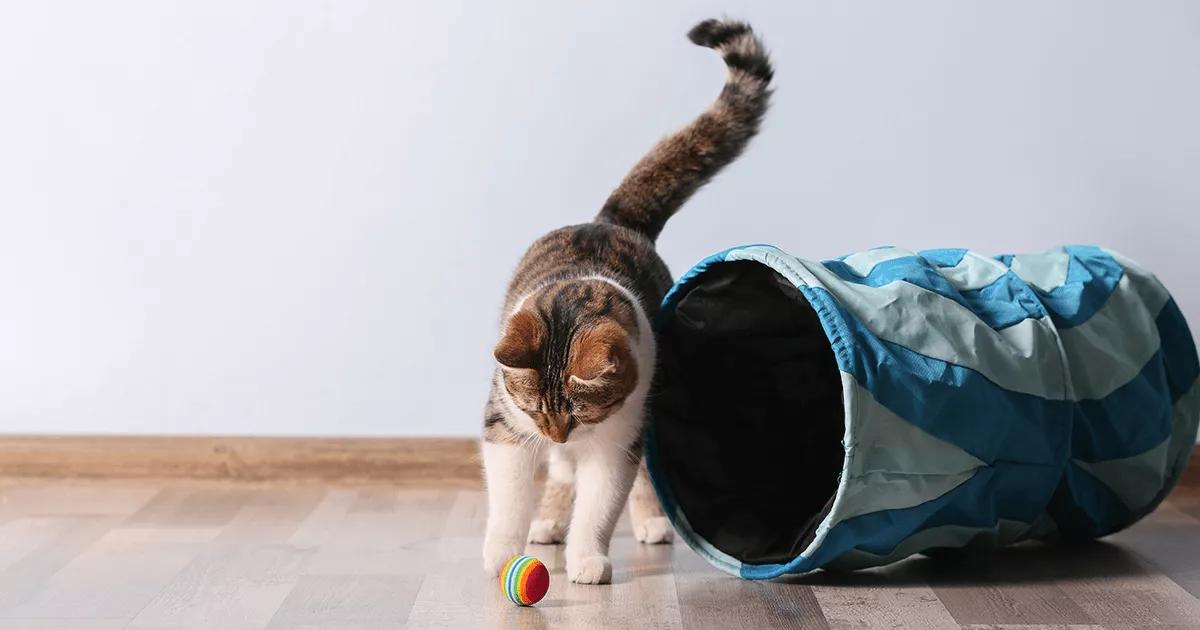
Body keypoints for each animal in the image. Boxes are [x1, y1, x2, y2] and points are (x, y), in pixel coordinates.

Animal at [477, 15, 768, 585]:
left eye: (579, 412)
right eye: (536, 408)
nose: (557, 434)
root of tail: (611, 220)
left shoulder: (618, 437)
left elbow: (602, 501)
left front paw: (588, 560)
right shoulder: (507, 424)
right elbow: (509, 494)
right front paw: (502, 553)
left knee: (634, 478)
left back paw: (650, 522)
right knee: (560, 476)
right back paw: (548, 521)